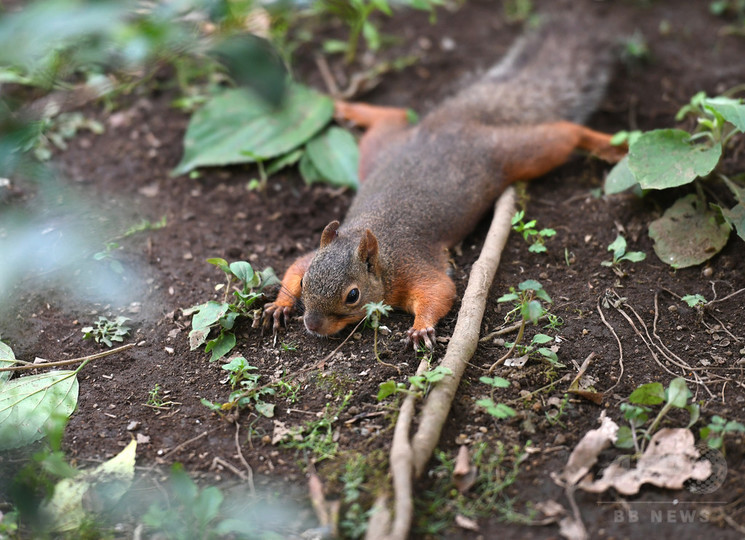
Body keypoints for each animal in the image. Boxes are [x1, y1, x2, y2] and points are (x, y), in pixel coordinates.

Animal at [264, 13, 624, 350]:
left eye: (352, 295)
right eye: (307, 283)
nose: (312, 325)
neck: (381, 255)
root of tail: (448, 121)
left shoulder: (412, 264)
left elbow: (440, 290)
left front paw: (421, 328)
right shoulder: (313, 257)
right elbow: (294, 265)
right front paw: (278, 305)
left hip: (509, 154)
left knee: (564, 134)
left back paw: (612, 144)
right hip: (379, 149)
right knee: (392, 117)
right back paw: (350, 108)